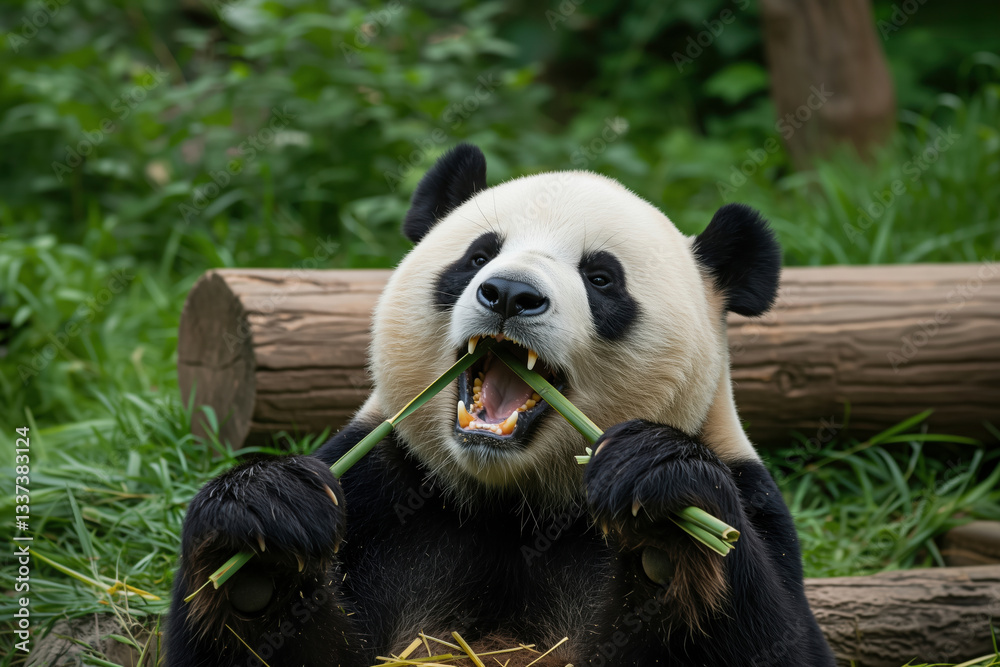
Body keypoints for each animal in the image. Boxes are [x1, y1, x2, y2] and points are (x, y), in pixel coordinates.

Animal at [166, 144, 836, 666]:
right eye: (479, 255)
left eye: (601, 277)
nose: (510, 293)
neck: (513, 502)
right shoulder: (383, 484)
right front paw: (260, 536)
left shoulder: (751, 496)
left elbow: (782, 643)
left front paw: (664, 518)